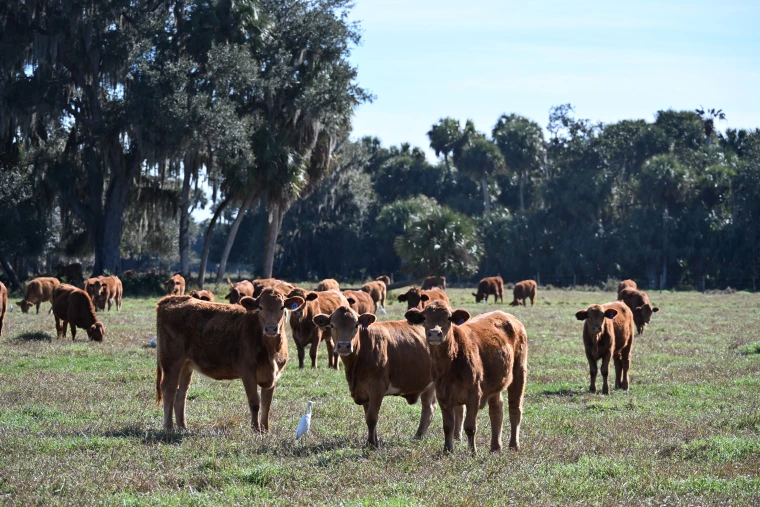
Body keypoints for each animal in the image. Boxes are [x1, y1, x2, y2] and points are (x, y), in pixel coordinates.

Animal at [155, 288, 303, 432]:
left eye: (282, 307)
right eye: (260, 307)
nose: (271, 328)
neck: (271, 349)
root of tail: (171, 299)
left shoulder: (273, 375)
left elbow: (266, 405)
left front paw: (265, 430)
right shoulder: (247, 373)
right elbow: (255, 403)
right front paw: (256, 430)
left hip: (186, 365)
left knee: (181, 393)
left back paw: (182, 426)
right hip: (171, 361)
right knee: (169, 389)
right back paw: (168, 427)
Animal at [313, 306, 446, 448]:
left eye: (356, 325)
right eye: (332, 325)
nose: (344, 346)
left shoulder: (376, 389)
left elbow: (371, 418)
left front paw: (372, 444)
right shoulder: (364, 391)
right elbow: (369, 416)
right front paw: (373, 441)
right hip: (428, 385)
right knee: (429, 408)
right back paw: (418, 437)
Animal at [405, 301, 528, 454]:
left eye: (449, 318)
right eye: (424, 318)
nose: (434, 333)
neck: (450, 364)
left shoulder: (474, 394)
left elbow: (470, 427)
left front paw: (472, 452)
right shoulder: (442, 395)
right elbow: (448, 426)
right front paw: (447, 450)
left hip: (519, 372)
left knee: (515, 409)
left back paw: (513, 445)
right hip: (496, 383)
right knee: (497, 410)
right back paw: (495, 447)